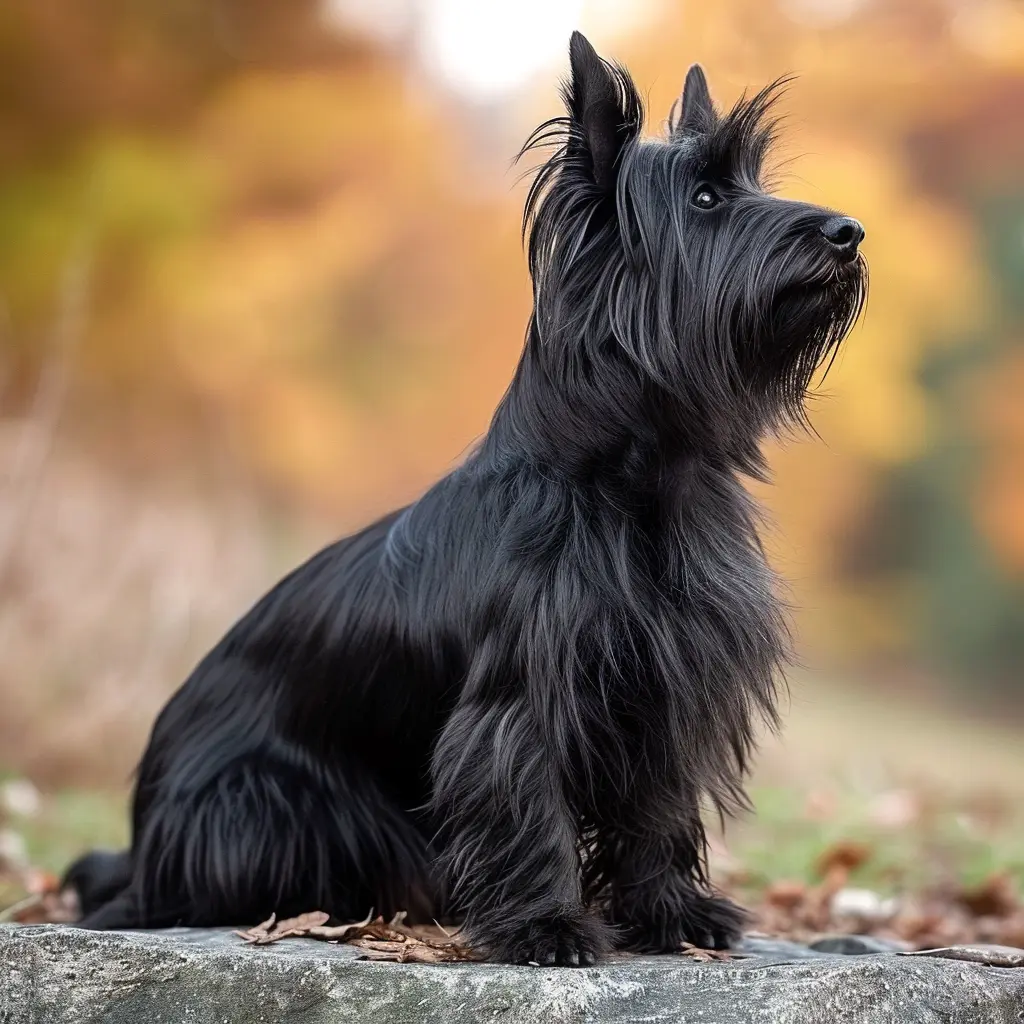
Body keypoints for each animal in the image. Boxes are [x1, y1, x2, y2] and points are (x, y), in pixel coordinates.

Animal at [64, 29, 864, 958]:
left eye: (752, 185)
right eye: (704, 197)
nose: (849, 232)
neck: (636, 482)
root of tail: (141, 845)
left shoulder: (670, 691)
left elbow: (657, 811)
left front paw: (671, 912)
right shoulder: (523, 697)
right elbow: (528, 802)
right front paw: (548, 925)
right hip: (267, 803)